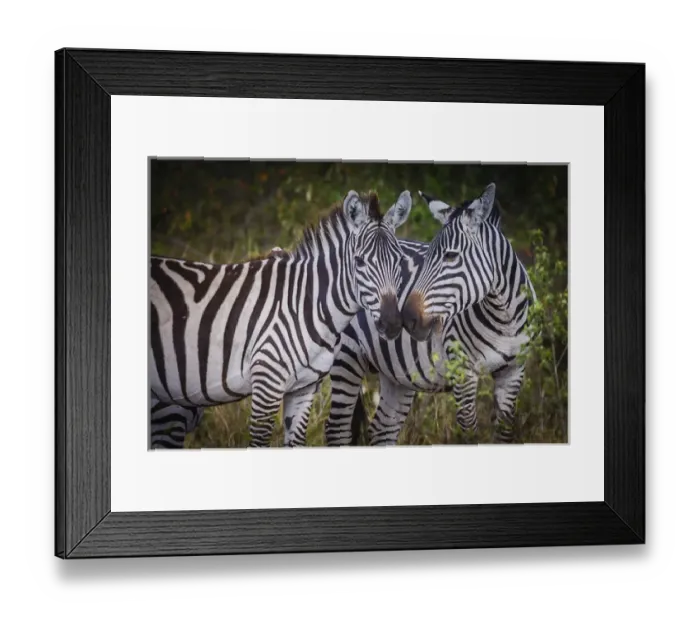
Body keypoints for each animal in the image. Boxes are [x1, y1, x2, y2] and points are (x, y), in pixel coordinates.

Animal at [149, 189, 413, 449]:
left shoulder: (304, 389)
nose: (392, 324)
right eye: (359, 261)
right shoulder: (267, 384)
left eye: (400, 260)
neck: (306, 305)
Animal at [325, 183, 535, 446]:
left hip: (397, 373)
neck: (504, 319)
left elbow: (504, 433)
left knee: (382, 430)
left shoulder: (514, 370)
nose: (407, 319)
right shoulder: (463, 372)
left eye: (451, 256)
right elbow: (469, 434)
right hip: (347, 356)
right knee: (337, 429)